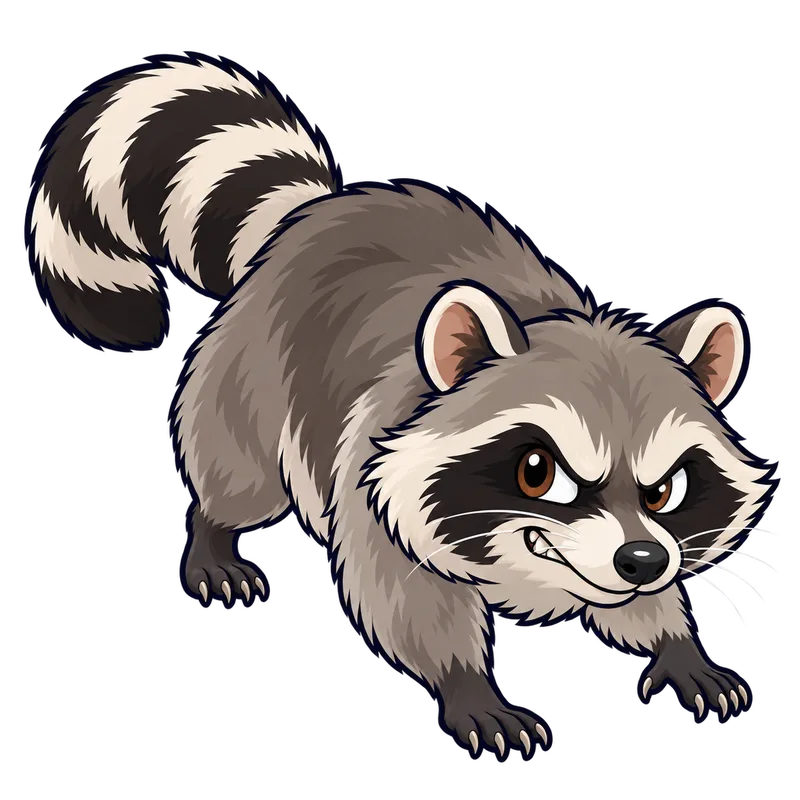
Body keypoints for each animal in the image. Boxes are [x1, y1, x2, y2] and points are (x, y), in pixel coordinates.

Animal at [23, 51, 779, 761]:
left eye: (666, 489)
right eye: (538, 472)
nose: (640, 561)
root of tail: (312, 216)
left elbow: (641, 604)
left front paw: (675, 641)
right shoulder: (373, 472)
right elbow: (408, 600)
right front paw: (467, 686)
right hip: (254, 375)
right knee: (238, 470)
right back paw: (213, 531)